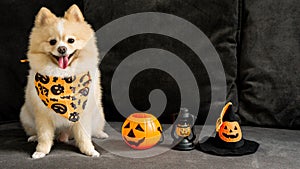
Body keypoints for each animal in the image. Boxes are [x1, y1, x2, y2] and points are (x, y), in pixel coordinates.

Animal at [19, 4, 108, 159]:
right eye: (52, 42)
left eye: (71, 40)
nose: (62, 49)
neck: (63, 75)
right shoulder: (42, 114)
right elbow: (44, 135)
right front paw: (40, 151)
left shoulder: (82, 113)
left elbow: (84, 135)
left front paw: (89, 150)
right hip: (25, 115)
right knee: (35, 131)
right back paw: (34, 137)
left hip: (99, 115)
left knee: (94, 129)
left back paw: (100, 134)